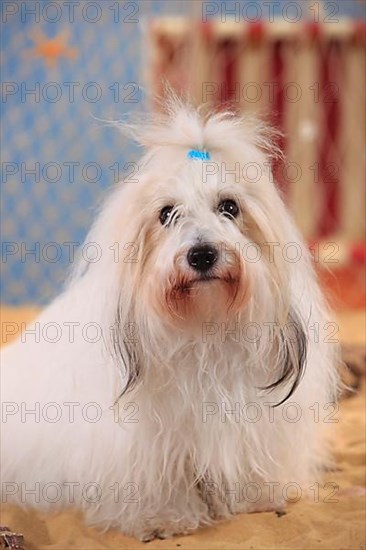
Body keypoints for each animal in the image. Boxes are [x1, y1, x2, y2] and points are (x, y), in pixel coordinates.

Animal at [0, 101, 338, 540]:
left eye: (229, 207)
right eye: (166, 214)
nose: (202, 254)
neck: (205, 328)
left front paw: (254, 497)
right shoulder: (146, 445)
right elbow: (159, 479)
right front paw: (164, 517)